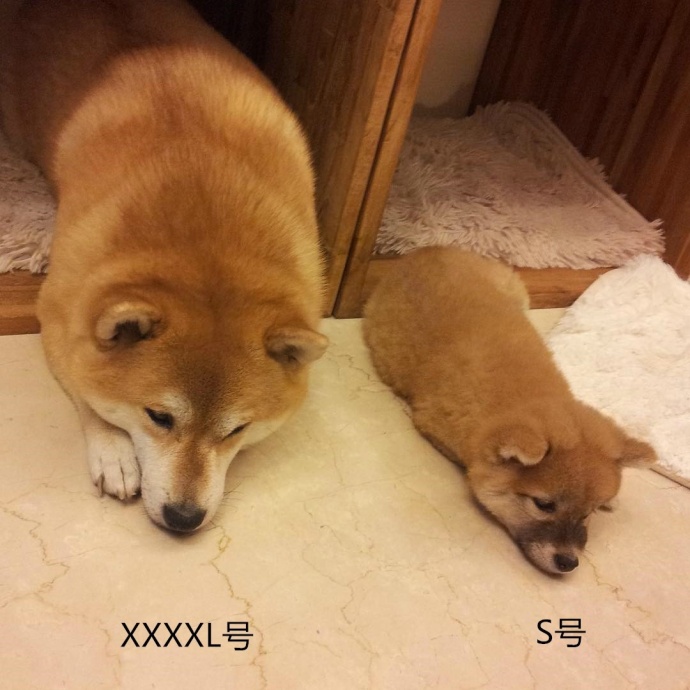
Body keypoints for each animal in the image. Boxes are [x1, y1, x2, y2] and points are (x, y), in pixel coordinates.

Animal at [0, 0, 328, 532]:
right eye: (158, 417)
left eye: (237, 429)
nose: (184, 517)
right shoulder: (58, 311)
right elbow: (87, 390)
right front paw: (114, 452)